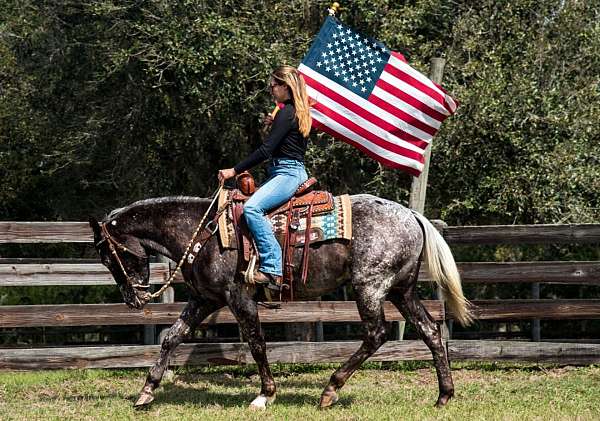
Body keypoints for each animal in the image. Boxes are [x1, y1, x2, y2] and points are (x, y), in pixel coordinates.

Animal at [90, 194, 474, 410]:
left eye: (108, 256)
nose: (134, 299)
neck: (202, 233)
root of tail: (412, 216)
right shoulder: (204, 299)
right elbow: (171, 337)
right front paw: (146, 392)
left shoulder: (238, 298)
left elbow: (257, 343)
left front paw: (265, 395)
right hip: (401, 290)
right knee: (430, 331)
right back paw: (444, 395)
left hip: (370, 286)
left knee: (376, 333)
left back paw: (330, 390)